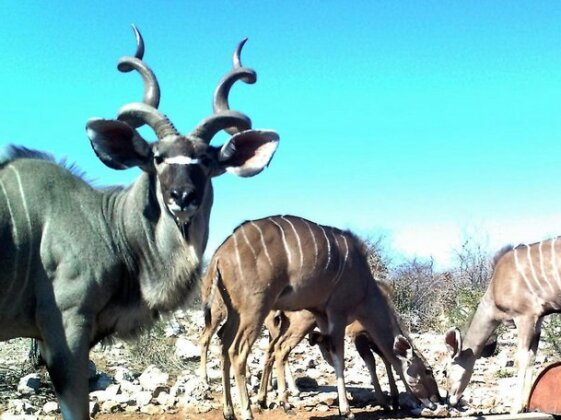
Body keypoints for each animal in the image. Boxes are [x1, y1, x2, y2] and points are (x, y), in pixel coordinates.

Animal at [203, 215, 440, 418]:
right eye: (428, 371)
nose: (437, 400)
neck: (366, 286)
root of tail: (219, 255)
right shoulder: (338, 314)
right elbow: (344, 359)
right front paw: (348, 410)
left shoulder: (322, 318)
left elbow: (339, 358)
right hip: (255, 310)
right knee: (238, 351)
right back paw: (250, 411)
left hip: (237, 313)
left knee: (225, 346)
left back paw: (230, 411)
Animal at [444, 240, 556, 414]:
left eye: (445, 372)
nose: (450, 401)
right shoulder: (538, 320)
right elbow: (532, 357)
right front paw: (526, 405)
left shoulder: (525, 317)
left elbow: (521, 359)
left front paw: (516, 408)